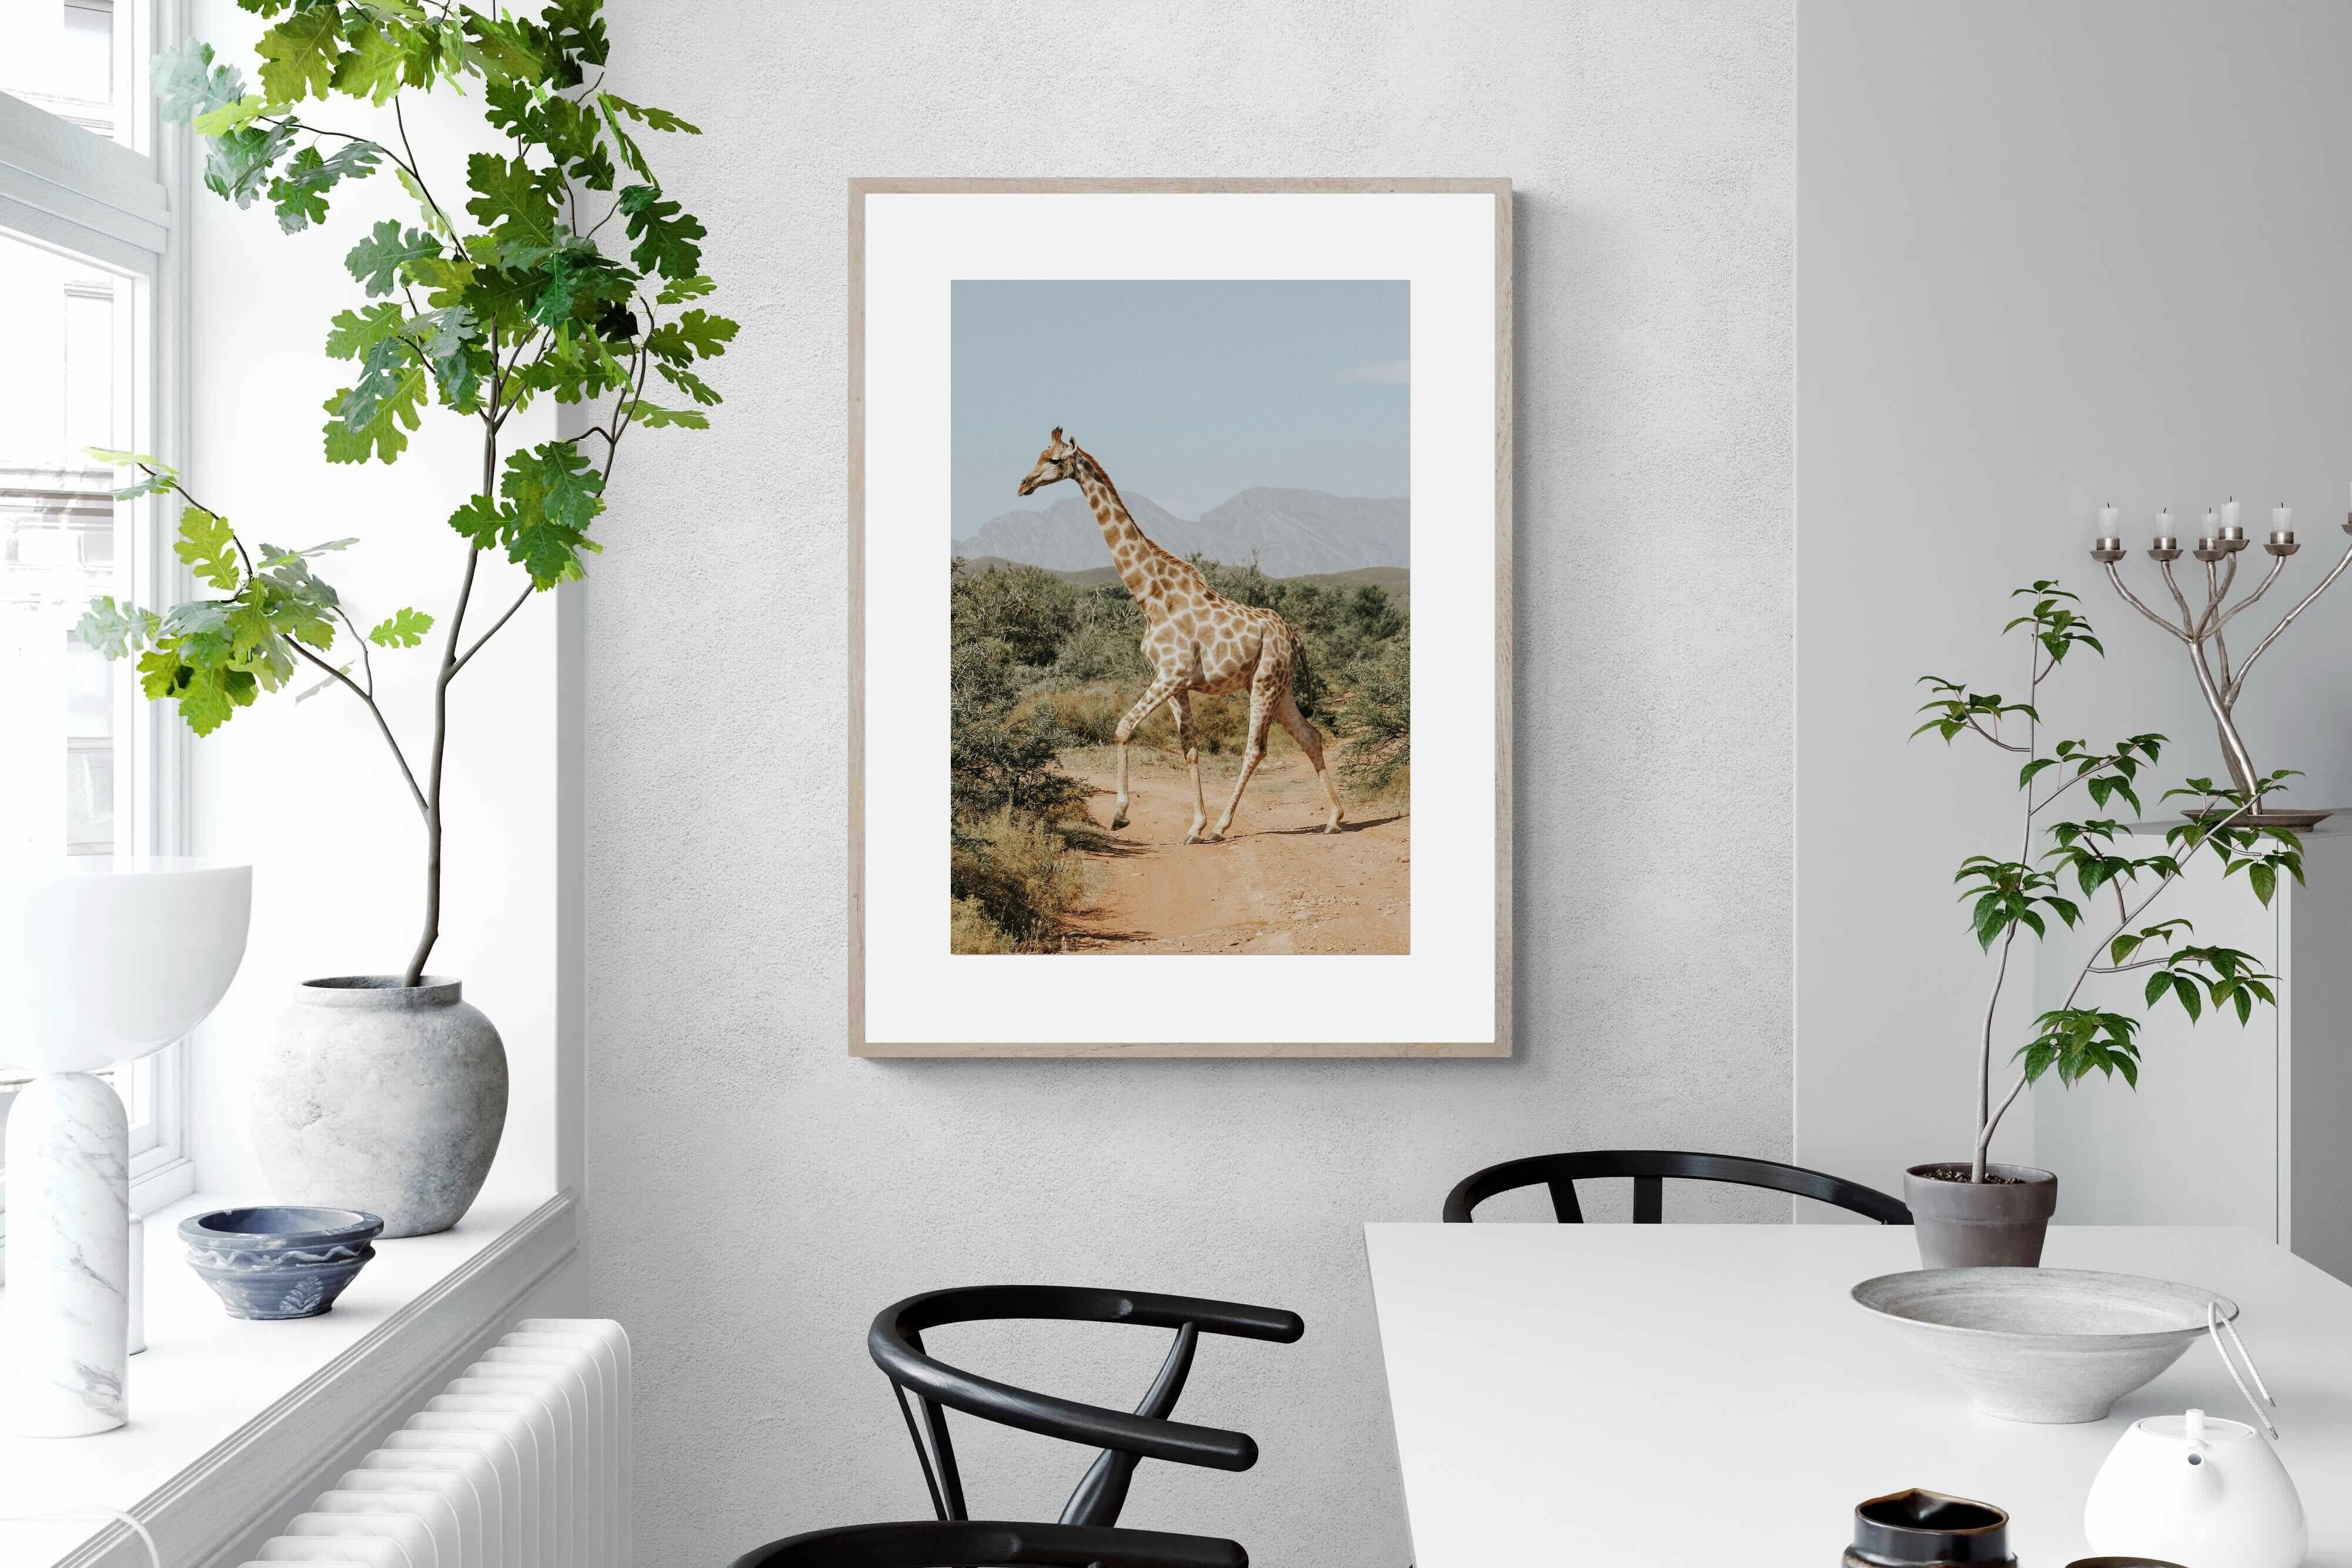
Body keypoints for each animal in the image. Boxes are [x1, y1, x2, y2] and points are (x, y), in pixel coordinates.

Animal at [1016, 428, 1345, 843]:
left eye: (1055, 460)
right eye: (1038, 454)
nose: (1024, 485)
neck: (1151, 596)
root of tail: (1292, 636)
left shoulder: (1171, 675)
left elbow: (1123, 728)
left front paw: (1121, 815)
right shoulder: (1175, 683)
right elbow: (1189, 748)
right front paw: (1194, 826)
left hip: (1265, 683)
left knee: (1256, 749)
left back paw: (1223, 827)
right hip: (1280, 687)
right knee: (1310, 736)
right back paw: (1334, 818)